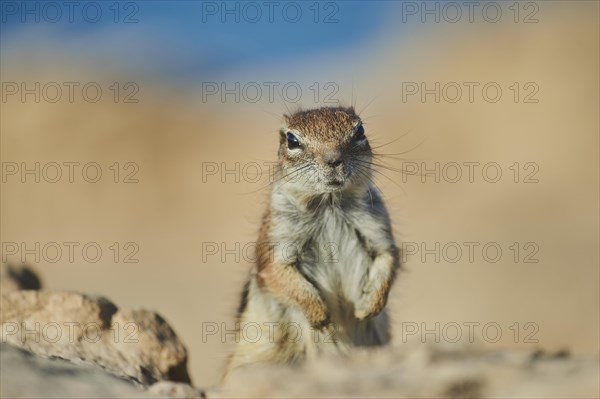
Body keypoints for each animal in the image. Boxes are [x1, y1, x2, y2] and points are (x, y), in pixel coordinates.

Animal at [225, 105, 398, 378]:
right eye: (292, 140)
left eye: (359, 130)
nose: (334, 160)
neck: (330, 203)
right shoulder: (277, 242)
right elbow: (280, 275)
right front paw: (321, 317)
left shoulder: (378, 229)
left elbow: (388, 259)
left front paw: (366, 308)